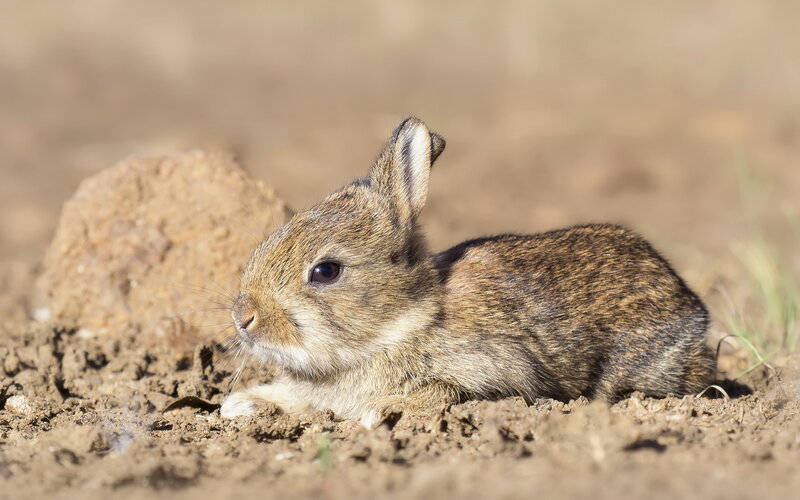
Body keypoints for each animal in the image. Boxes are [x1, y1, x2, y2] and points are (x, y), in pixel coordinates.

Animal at [220, 117, 716, 428]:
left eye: (326, 271)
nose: (243, 318)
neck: (405, 322)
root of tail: (693, 309)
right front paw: (238, 404)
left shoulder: (496, 372)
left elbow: (443, 391)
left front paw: (381, 411)